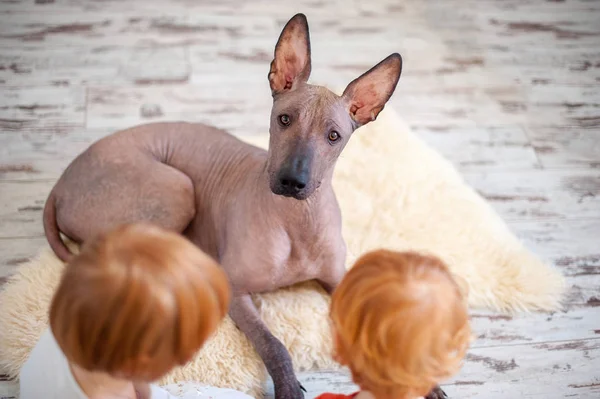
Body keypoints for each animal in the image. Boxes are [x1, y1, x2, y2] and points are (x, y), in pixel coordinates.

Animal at [42, 14, 442, 399]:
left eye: (334, 136)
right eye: (284, 119)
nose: (292, 181)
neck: (296, 219)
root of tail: (60, 184)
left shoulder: (338, 277)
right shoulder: (236, 290)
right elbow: (273, 344)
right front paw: (287, 387)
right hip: (177, 190)